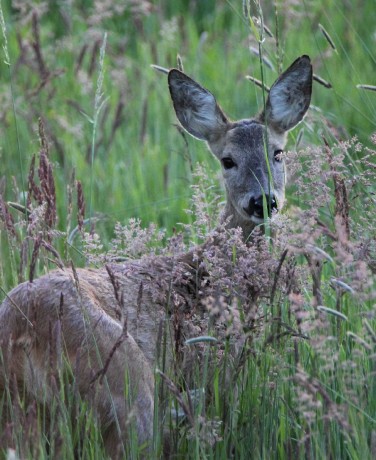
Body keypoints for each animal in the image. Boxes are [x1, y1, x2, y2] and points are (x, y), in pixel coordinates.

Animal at [0, 55, 312, 454]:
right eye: (227, 160)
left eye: (278, 152)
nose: (263, 200)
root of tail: (20, 332)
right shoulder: (215, 364)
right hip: (127, 384)